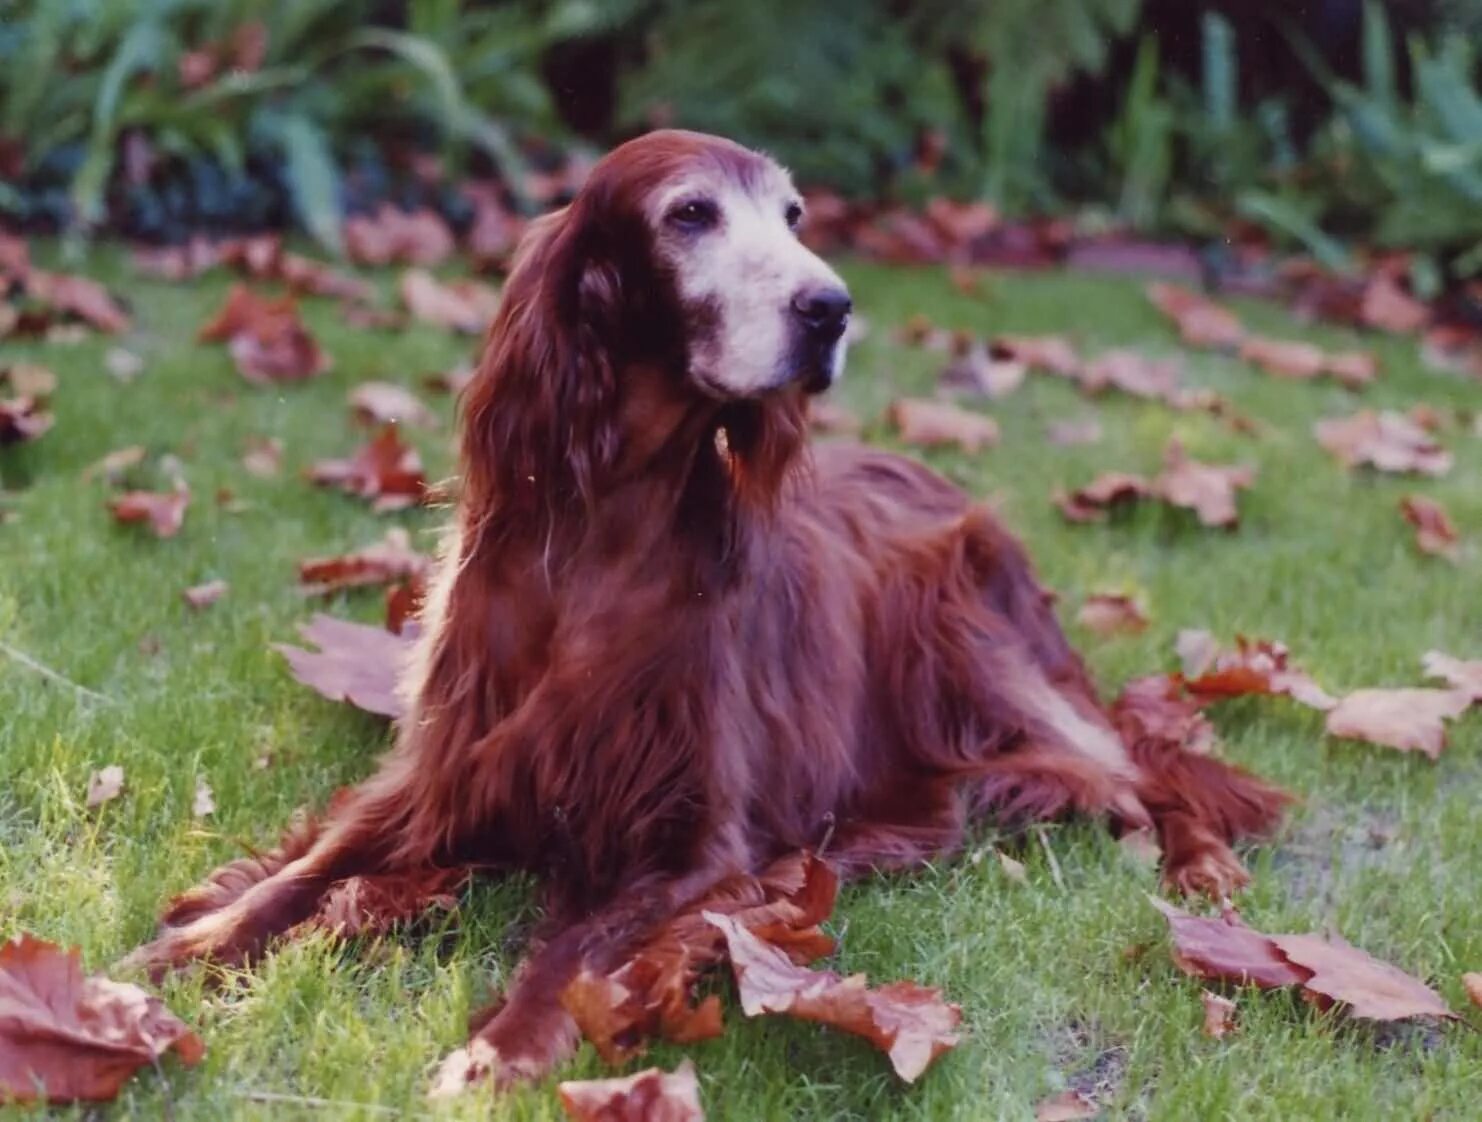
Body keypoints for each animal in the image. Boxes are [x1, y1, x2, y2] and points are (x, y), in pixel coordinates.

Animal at [130, 128, 1286, 1084]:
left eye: (796, 217)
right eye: (690, 214)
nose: (831, 307)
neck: (598, 540)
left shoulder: (694, 848)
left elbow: (576, 947)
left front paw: (500, 1048)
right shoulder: (449, 769)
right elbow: (311, 867)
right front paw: (185, 944)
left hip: (987, 669)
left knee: (1147, 772)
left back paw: (1205, 869)